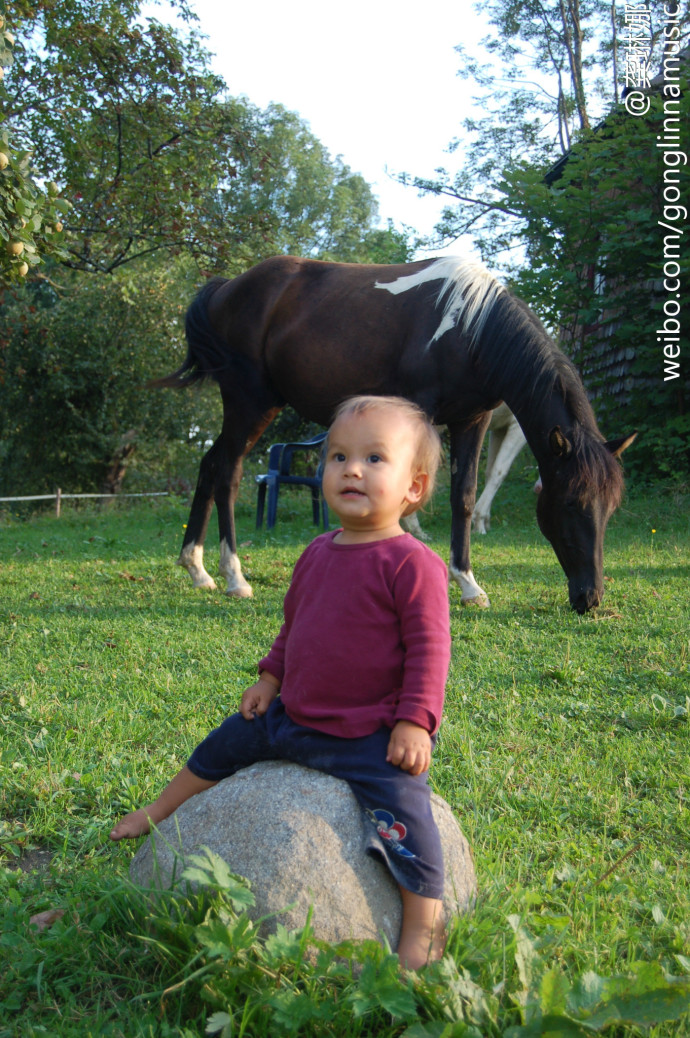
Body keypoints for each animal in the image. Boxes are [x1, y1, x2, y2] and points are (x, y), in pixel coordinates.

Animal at [157, 255, 635, 610]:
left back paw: (196, 567)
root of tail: (226, 289)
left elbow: (463, 496)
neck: (469, 325)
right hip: (249, 402)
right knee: (228, 473)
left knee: (210, 464)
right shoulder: (421, 412)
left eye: (611, 508)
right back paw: (233, 575)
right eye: (571, 503)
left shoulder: (472, 421)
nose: (590, 598)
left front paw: (468, 584)